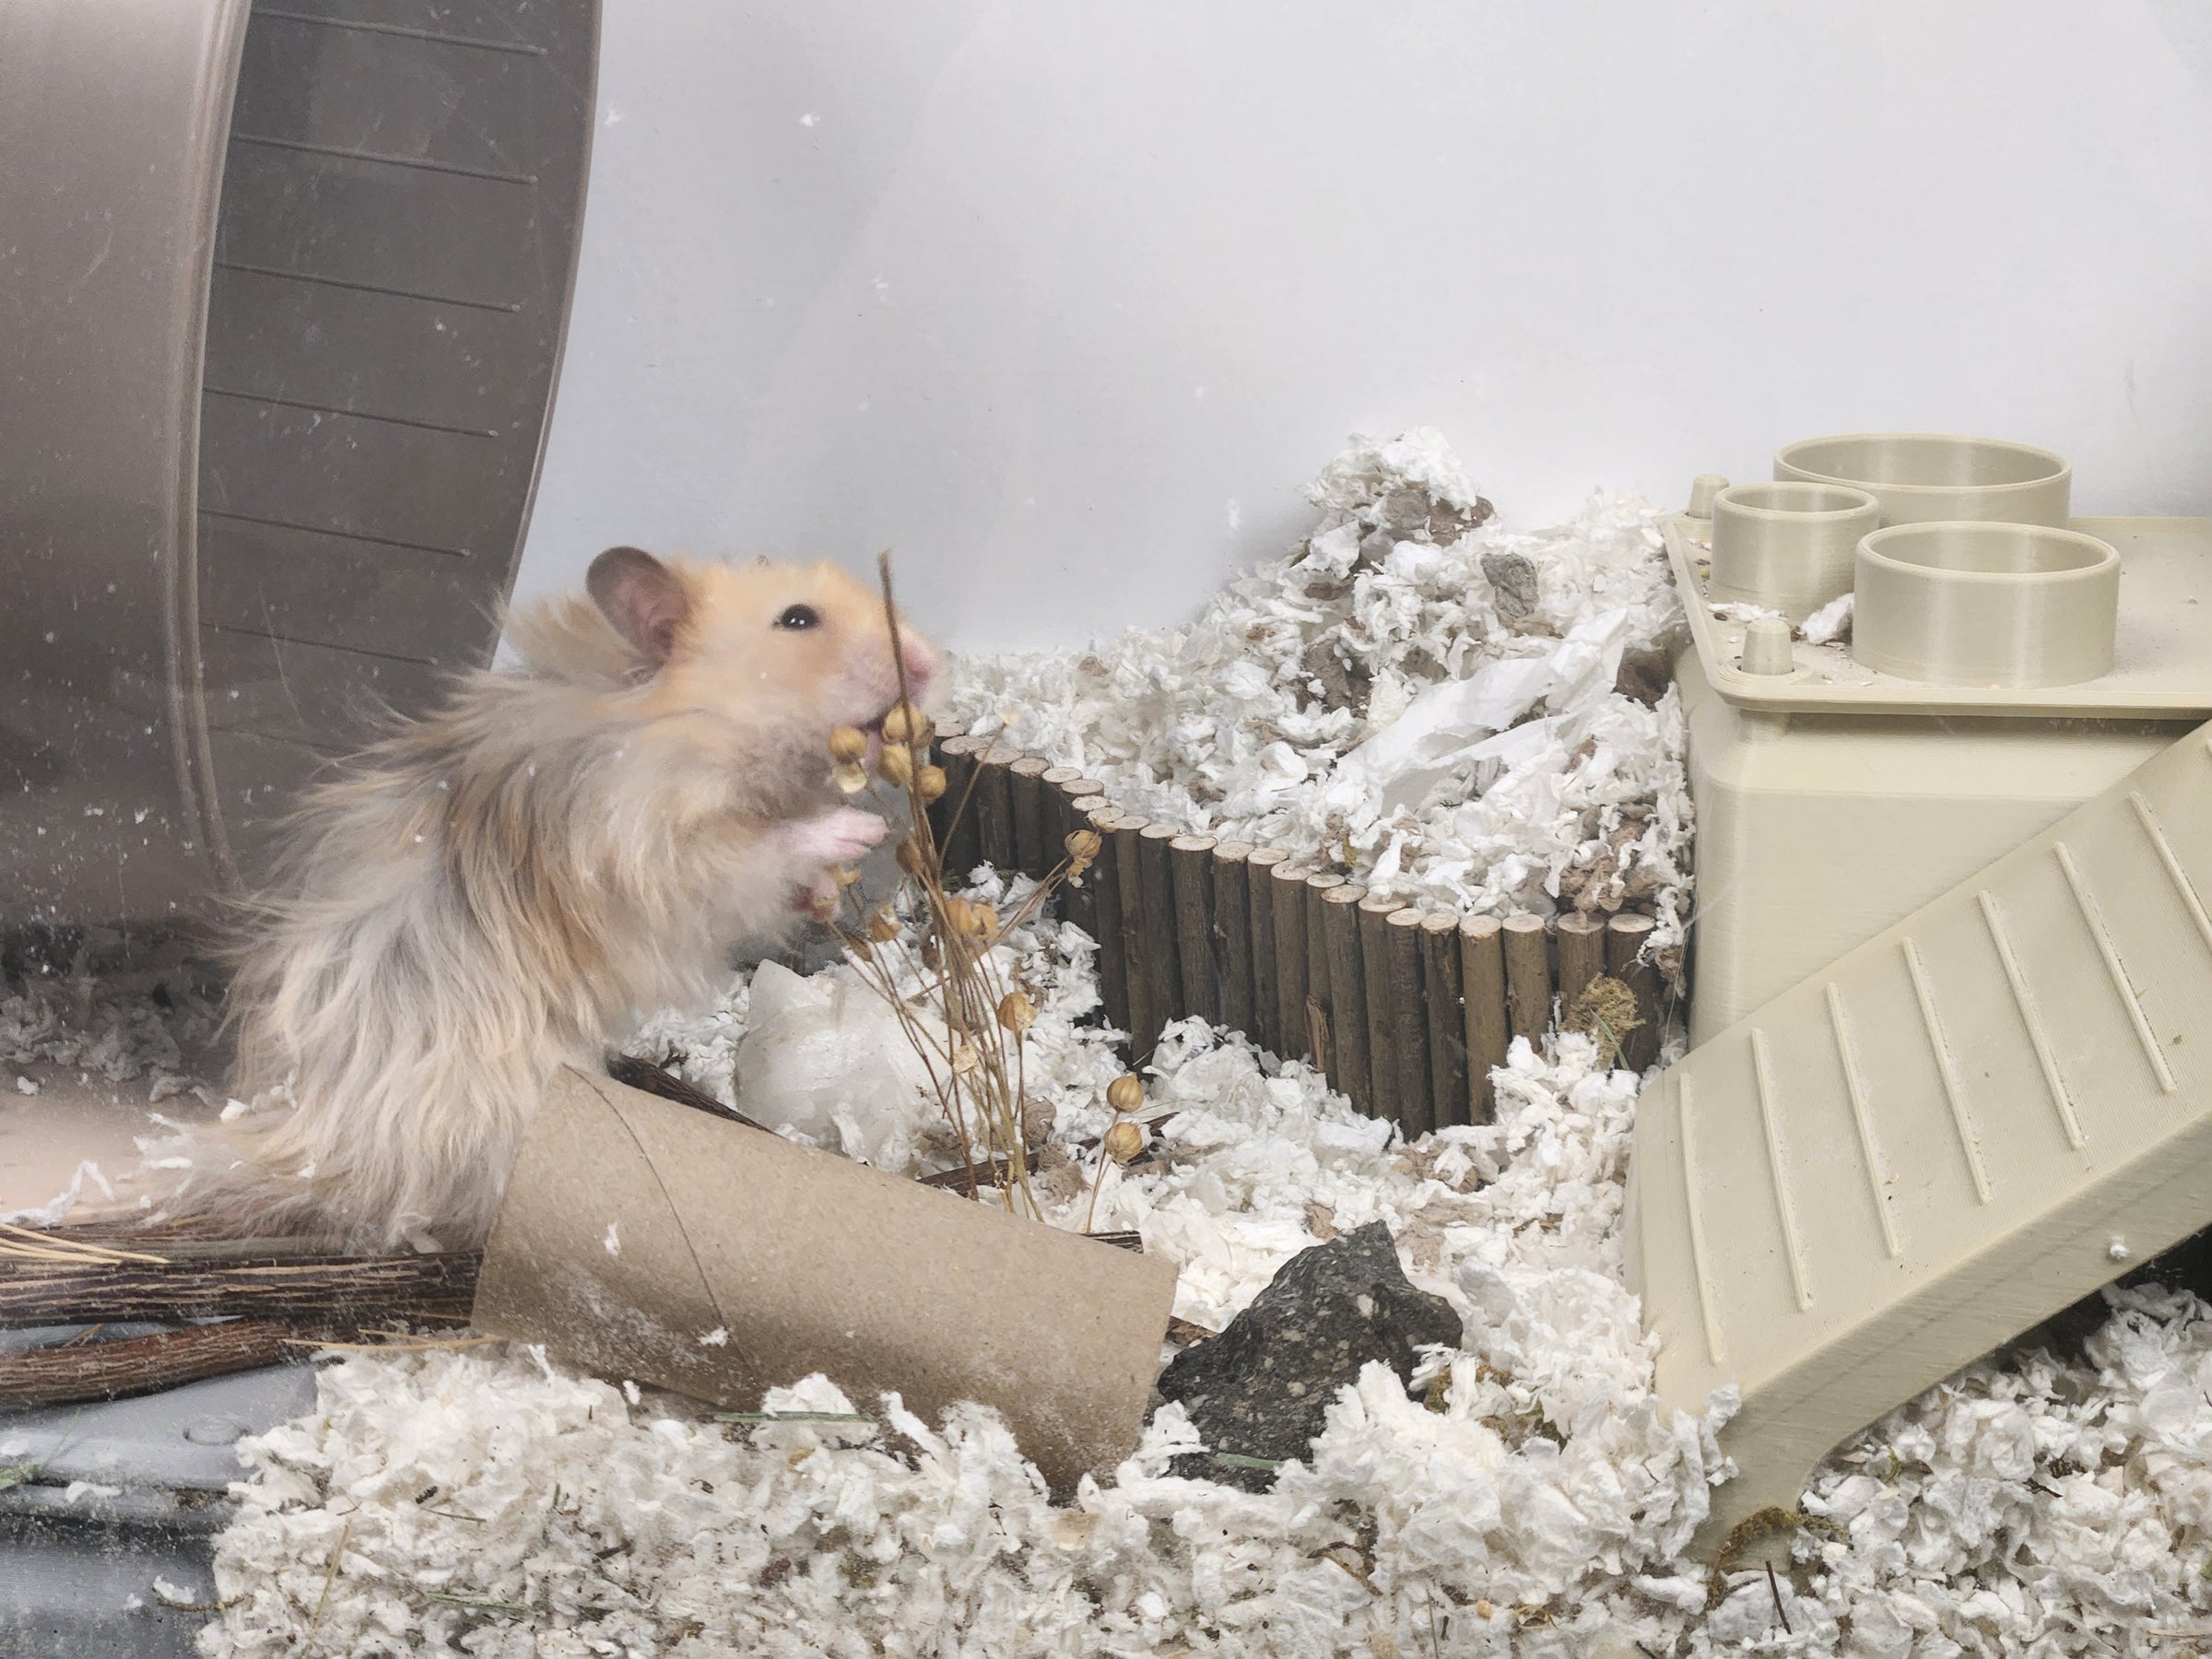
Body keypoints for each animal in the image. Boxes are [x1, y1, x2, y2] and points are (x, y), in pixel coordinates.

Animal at [164, 548, 940, 1251]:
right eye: (797, 619)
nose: (931, 664)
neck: (686, 721)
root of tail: (304, 1147)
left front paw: (828, 894)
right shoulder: (662, 855)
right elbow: (766, 850)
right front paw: (860, 829)